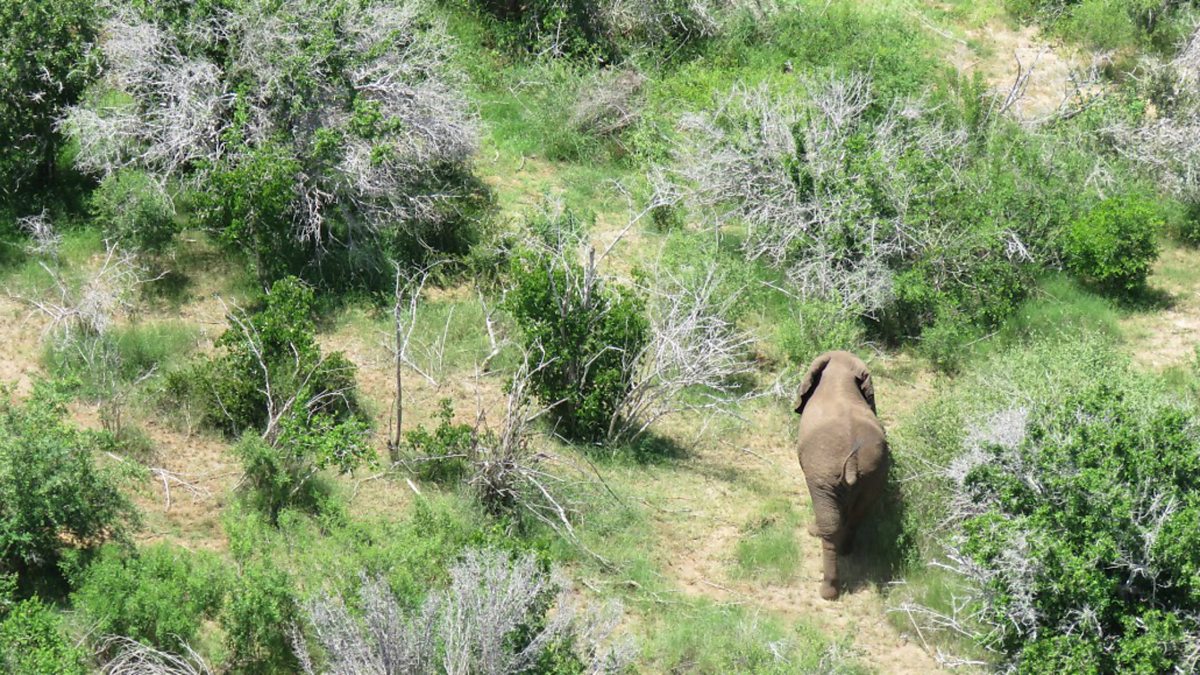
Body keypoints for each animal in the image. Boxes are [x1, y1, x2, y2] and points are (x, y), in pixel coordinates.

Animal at [793, 350, 889, 600]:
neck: (839, 372)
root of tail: (853, 462)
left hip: (824, 473)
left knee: (830, 521)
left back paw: (828, 590)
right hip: (874, 474)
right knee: (858, 514)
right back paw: (846, 550)